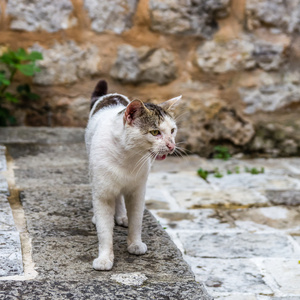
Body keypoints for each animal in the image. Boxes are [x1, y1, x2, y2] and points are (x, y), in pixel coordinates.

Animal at [85, 80, 182, 272]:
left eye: (172, 130)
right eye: (155, 132)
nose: (171, 145)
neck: (128, 157)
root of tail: (111, 95)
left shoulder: (138, 191)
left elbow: (136, 221)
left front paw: (135, 244)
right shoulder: (103, 192)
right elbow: (104, 231)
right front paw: (105, 258)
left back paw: (122, 215)